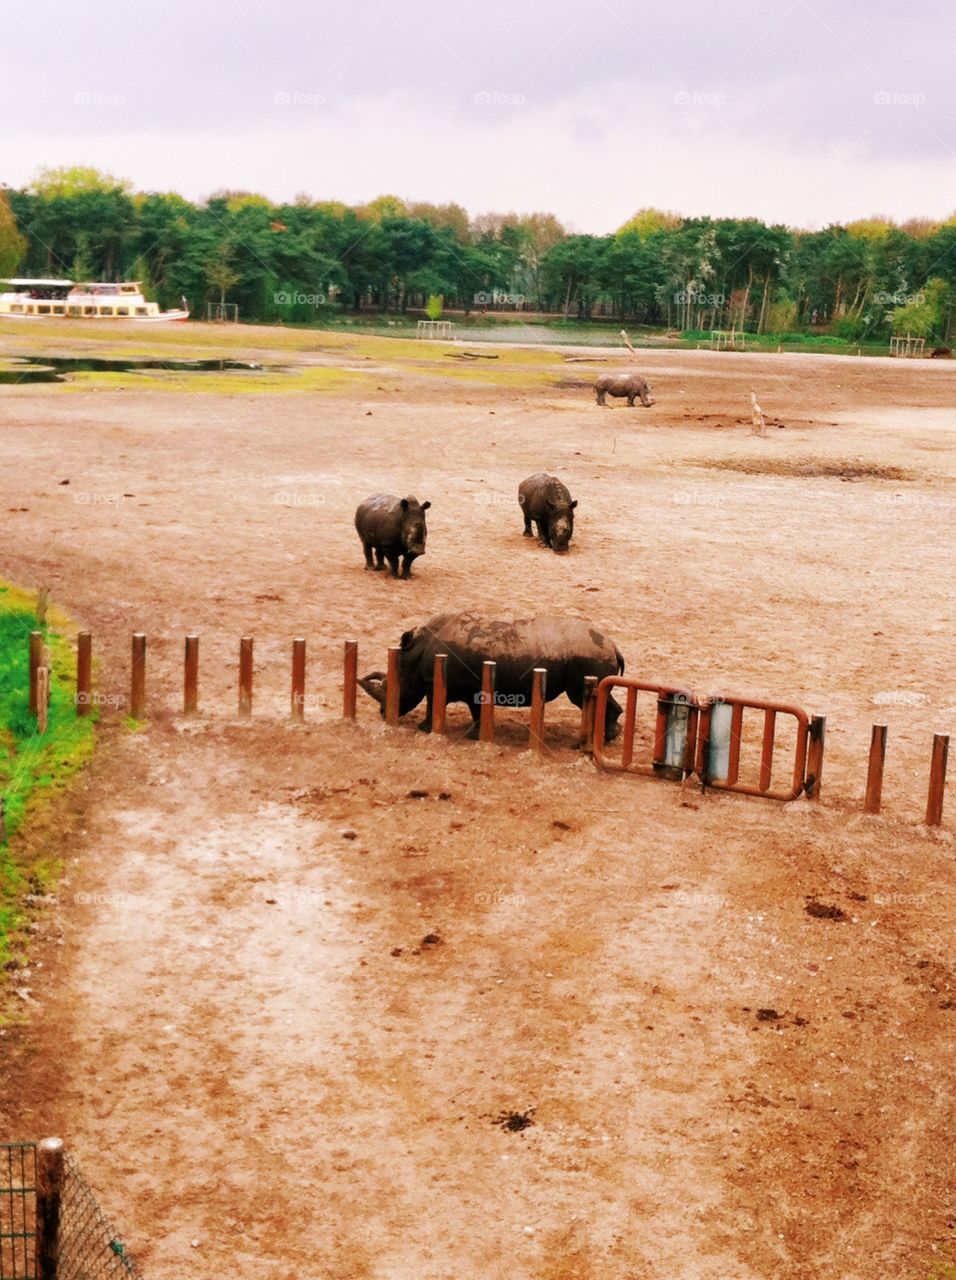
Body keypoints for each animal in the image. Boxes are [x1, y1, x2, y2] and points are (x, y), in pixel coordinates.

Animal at [358, 612, 625, 739]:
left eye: (391, 686)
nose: (383, 713)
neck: (416, 652)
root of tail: (614, 646)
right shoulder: (466, 686)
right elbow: (470, 710)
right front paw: (474, 734)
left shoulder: (441, 682)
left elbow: (437, 704)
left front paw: (425, 729)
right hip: (594, 654)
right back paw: (608, 737)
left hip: (590, 656)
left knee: (581, 697)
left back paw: (599, 739)